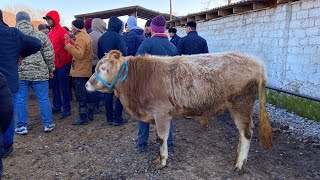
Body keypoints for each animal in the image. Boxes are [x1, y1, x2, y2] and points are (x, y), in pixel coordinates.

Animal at [86, 50, 274, 171]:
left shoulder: (161, 113)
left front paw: (162, 161)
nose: (87, 84)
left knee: (247, 132)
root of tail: (257, 62)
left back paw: (239, 164)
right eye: (97, 67)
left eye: (104, 68)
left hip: (241, 104)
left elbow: (161, 138)